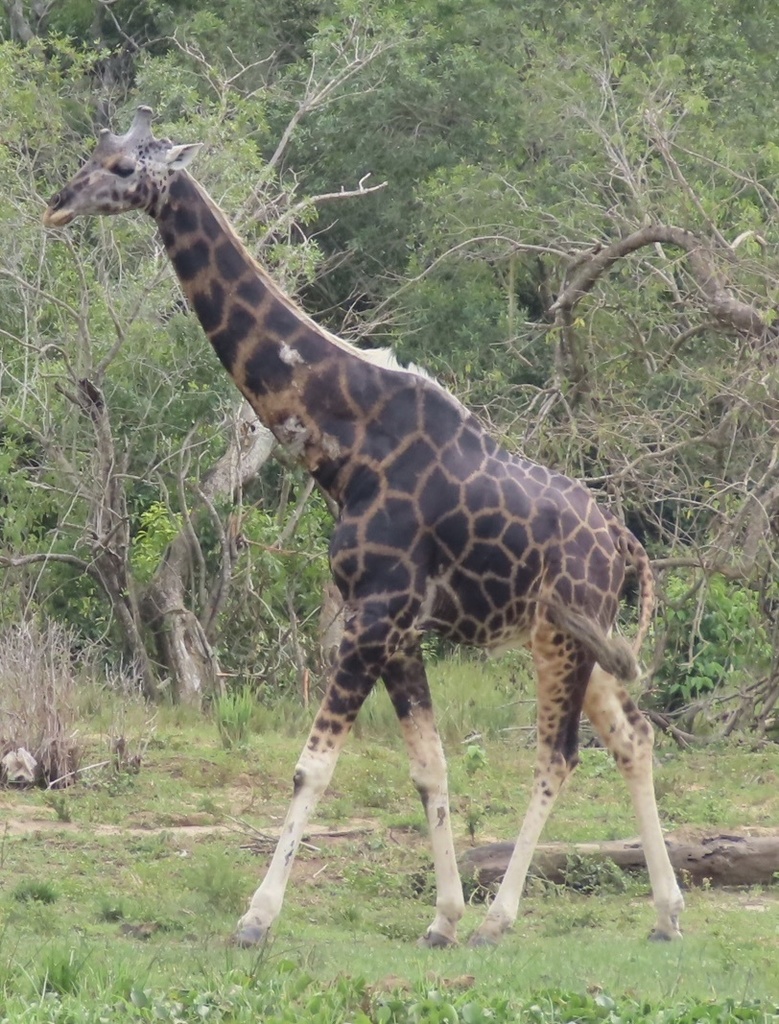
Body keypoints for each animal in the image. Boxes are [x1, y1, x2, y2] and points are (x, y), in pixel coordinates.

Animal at [43, 107, 684, 949]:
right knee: (632, 737)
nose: (56, 204)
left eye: (123, 170)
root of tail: (624, 545)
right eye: (92, 155)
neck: (345, 443)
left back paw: (502, 920)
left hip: (560, 637)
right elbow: (428, 766)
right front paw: (440, 919)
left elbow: (311, 765)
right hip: (588, 638)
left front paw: (257, 918)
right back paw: (666, 915)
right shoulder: (397, 627)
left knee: (558, 754)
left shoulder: (374, 615)